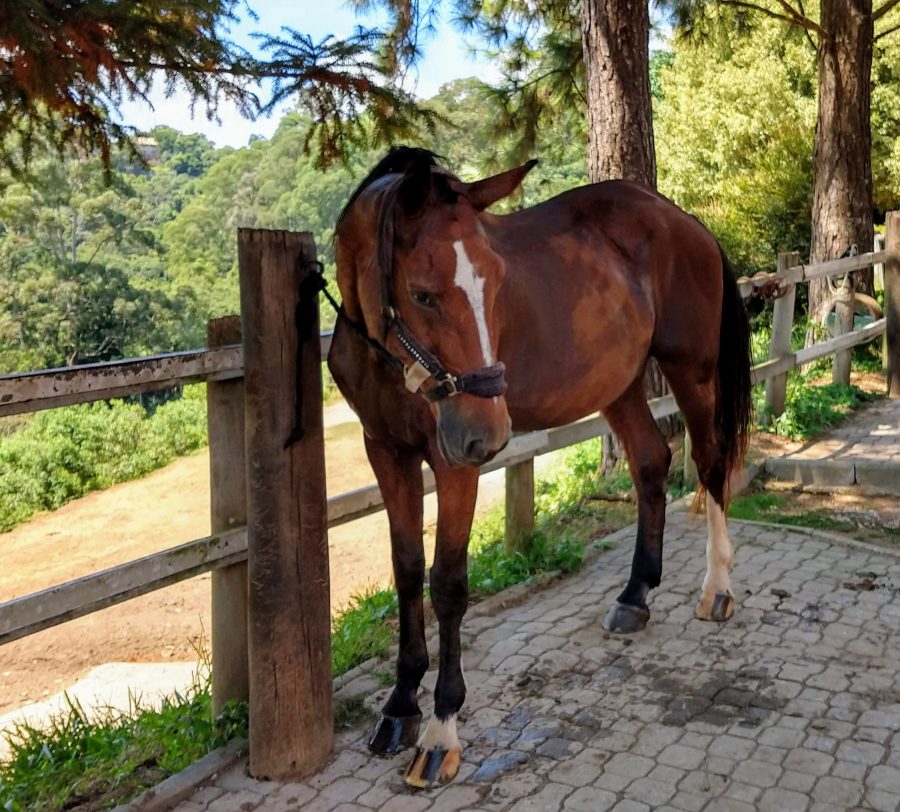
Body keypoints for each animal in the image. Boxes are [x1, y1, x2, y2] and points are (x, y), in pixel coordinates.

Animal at [327, 147, 752, 788]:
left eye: (498, 282)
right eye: (422, 294)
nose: (488, 431)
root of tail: (684, 221)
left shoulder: (453, 464)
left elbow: (447, 583)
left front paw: (441, 728)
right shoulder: (387, 452)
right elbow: (406, 573)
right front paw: (400, 707)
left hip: (692, 370)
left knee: (710, 461)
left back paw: (717, 589)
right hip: (618, 384)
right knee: (651, 464)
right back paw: (635, 595)